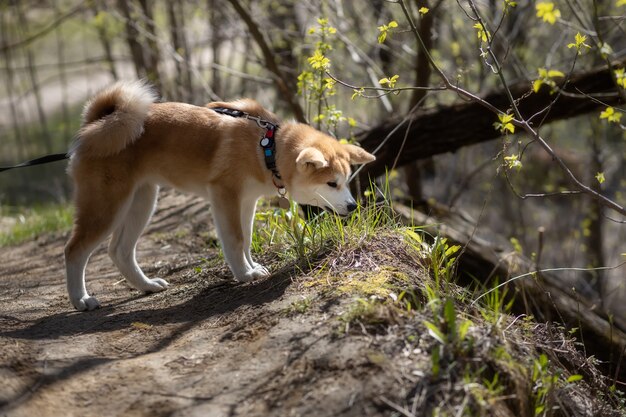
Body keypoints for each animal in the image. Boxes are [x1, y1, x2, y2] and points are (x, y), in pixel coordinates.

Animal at [64, 80, 376, 308]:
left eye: (346, 181)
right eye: (332, 184)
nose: (352, 206)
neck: (267, 148)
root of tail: (92, 126)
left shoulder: (247, 200)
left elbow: (246, 239)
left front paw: (252, 267)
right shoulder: (225, 194)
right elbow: (235, 239)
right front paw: (244, 274)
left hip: (142, 200)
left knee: (120, 251)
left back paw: (147, 285)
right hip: (107, 205)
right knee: (74, 250)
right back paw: (81, 300)